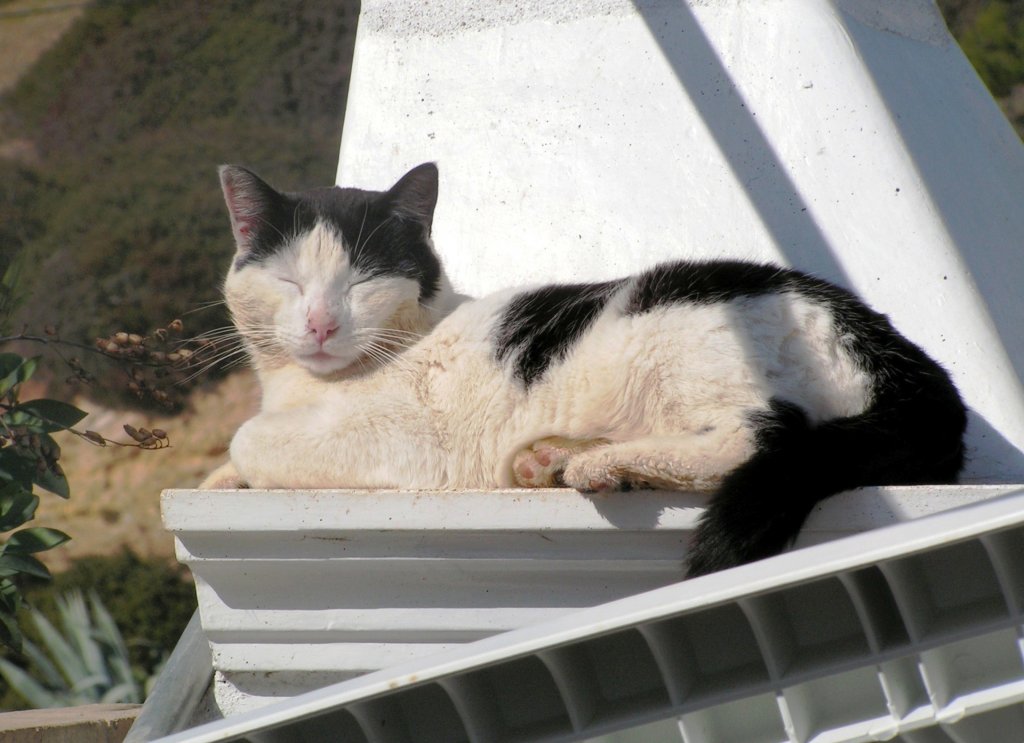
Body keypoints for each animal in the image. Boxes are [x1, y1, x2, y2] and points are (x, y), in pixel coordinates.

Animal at [205, 162, 966, 577]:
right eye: (288, 281)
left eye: (361, 281)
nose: (320, 324)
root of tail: (891, 344)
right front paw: (221, 478)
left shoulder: (407, 440)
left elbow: (250, 436)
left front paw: (239, 461)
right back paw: (556, 457)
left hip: (685, 334)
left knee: (762, 436)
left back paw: (603, 464)